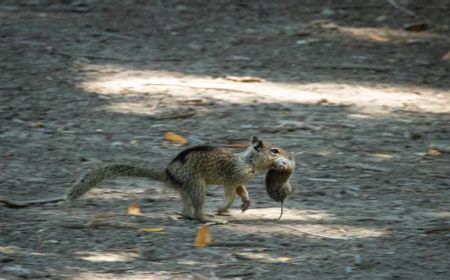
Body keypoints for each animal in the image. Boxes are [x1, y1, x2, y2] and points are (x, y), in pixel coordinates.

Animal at [0, 136, 292, 223]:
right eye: (275, 150)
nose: (289, 156)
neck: (248, 162)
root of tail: (168, 174)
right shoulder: (231, 177)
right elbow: (231, 192)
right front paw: (225, 208)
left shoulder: (241, 179)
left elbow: (242, 191)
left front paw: (245, 203)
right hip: (196, 185)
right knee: (196, 209)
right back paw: (208, 217)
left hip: (188, 188)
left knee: (185, 208)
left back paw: (189, 215)